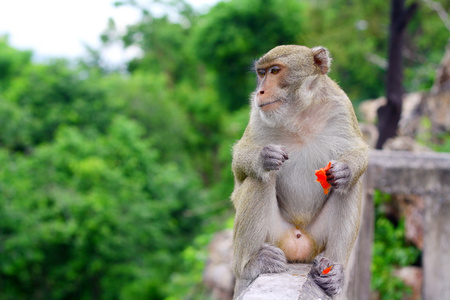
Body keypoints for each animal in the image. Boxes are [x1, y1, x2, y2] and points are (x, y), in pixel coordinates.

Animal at [230, 45, 370, 298]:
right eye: (261, 73)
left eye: (275, 71)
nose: (260, 91)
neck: (299, 115)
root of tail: (297, 240)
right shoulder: (257, 114)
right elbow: (239, 168)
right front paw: (264, 157)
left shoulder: (342, 106)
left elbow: (358, 151)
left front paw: (344, 170)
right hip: (275, 236)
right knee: (260, 179)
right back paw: (251, 264)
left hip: (316, 240)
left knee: (350, 187)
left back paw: (334, 271)